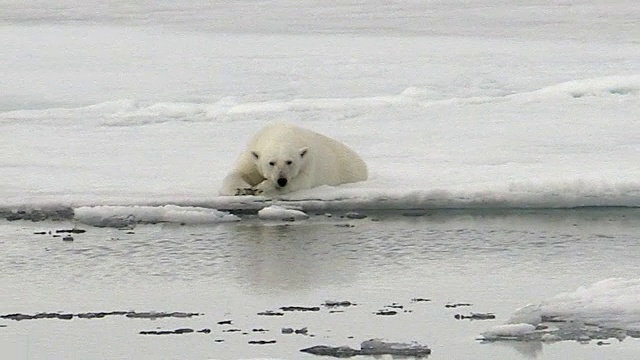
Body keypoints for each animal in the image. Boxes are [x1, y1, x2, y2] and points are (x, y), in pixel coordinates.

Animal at [220, 123, 368, 197]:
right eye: (271, 163)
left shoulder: (307, 161)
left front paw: (261, 188)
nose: (282, 180)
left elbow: (300, 181)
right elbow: (239, 172)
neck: (280, 134)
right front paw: (241, 189)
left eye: (289, 162)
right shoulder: (252, 153)